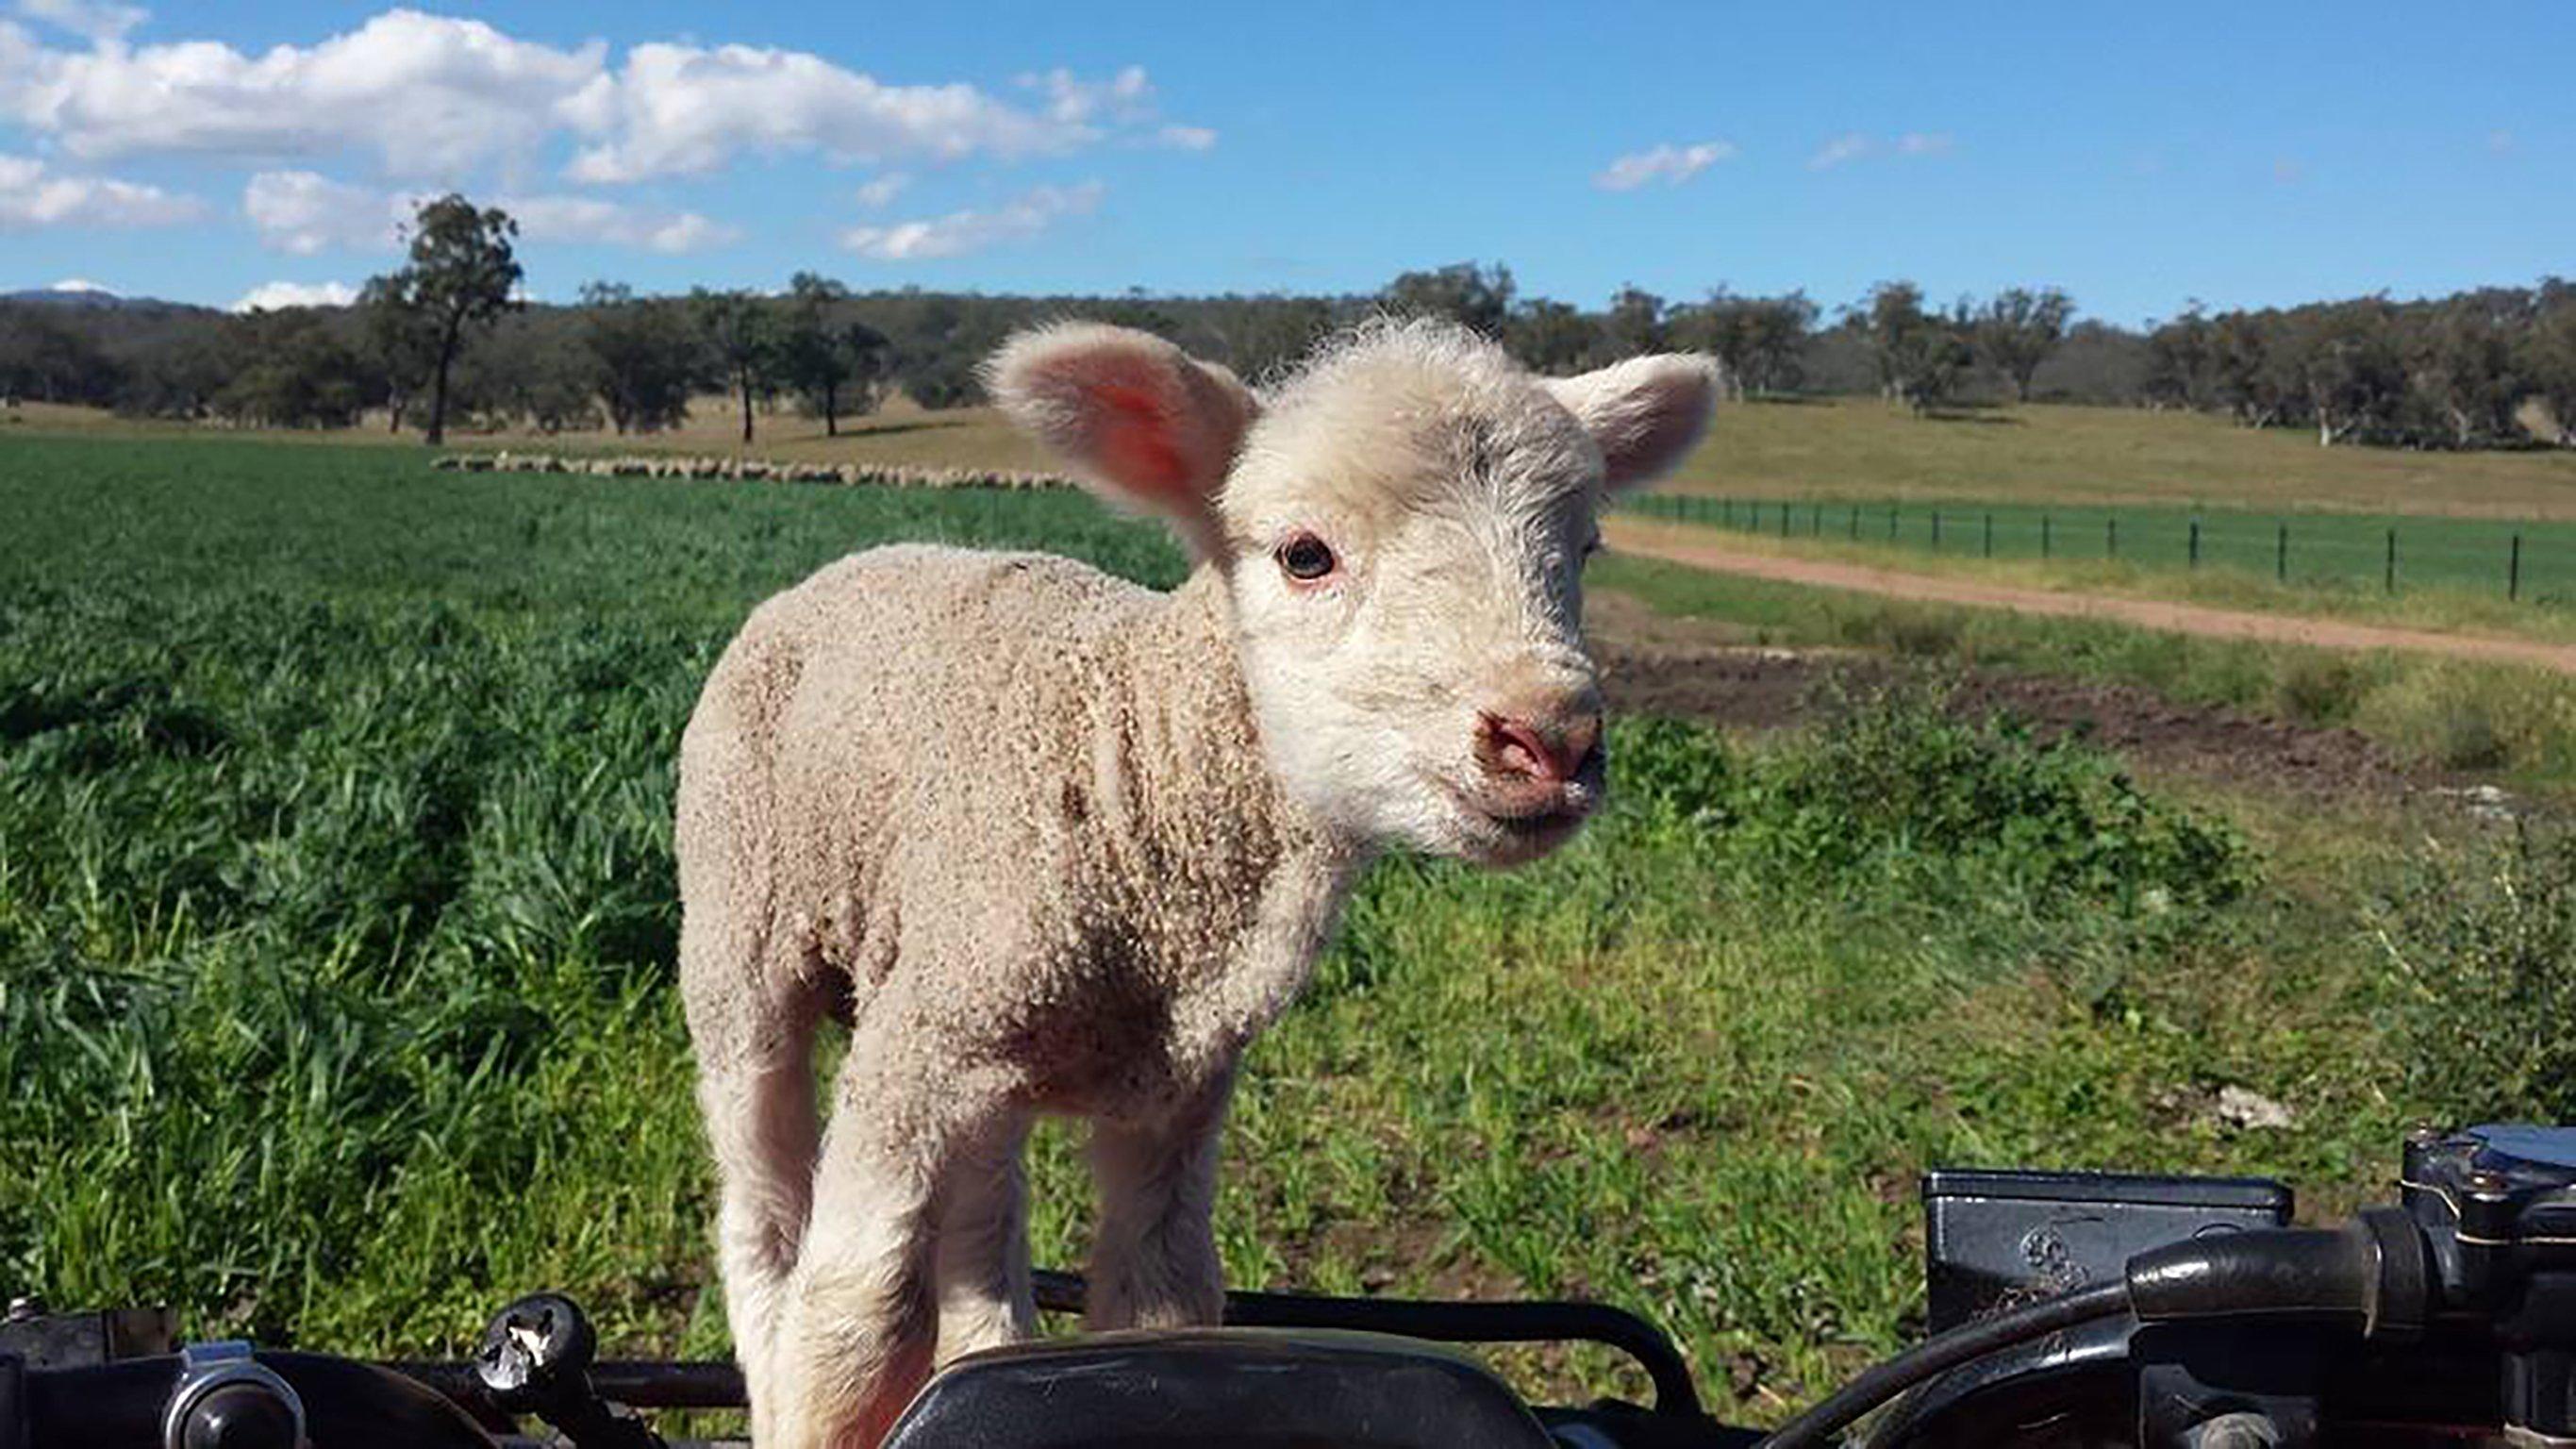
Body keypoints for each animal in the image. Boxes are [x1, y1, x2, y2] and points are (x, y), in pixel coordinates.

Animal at [674, 318, 1720, 1443]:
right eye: (1304, 555)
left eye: (1584, 550)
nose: (1551, 738)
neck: (1130, 752)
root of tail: (841, 568)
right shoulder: (914, 1050)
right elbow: (851, 1324)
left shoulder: (1171, 1089)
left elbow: (1162, 1300)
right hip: (743, 934)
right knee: (762, 1211)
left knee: (981, 1220)